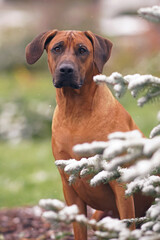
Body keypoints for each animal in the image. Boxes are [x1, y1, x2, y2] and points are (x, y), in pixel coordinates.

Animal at [25, 30, 152, 240]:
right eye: (57, 48)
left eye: (82, 50)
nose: (66, 70)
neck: (75, 111)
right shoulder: (69, 186)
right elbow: (78, 228)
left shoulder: (120, 184)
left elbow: (128, 225)